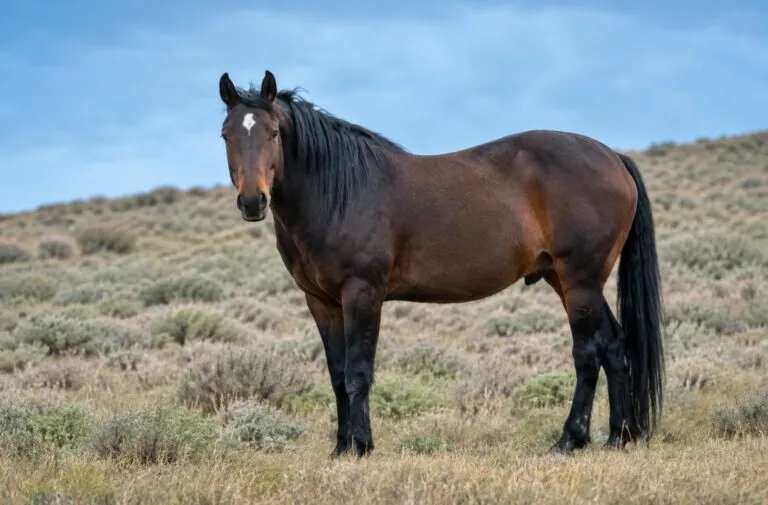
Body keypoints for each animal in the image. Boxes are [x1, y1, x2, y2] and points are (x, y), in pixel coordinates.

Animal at [216, 70, 665, 457]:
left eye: (273, 133)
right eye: (226, 135)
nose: (253, 201)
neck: (341, 192)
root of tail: (613, 157)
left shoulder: (362, 293)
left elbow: (359, 371)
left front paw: (361, 446)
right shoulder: (321, 301)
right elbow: (339, 376)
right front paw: (342, 447)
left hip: (580, 280)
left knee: (588, 353)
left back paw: (570, 439)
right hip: (566, 279)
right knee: (614, 344)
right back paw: (619, 436)